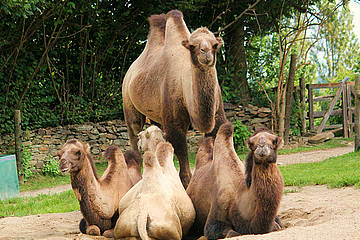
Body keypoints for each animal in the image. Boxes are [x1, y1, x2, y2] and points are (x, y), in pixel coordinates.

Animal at [122, 9, 226, 188]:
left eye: (215, 45)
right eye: (192, 46)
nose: (206, 53)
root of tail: (129, 73)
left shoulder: (217, 115)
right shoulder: (174, 120)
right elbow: (180, 149)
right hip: (127, 100)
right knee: (134, 133)